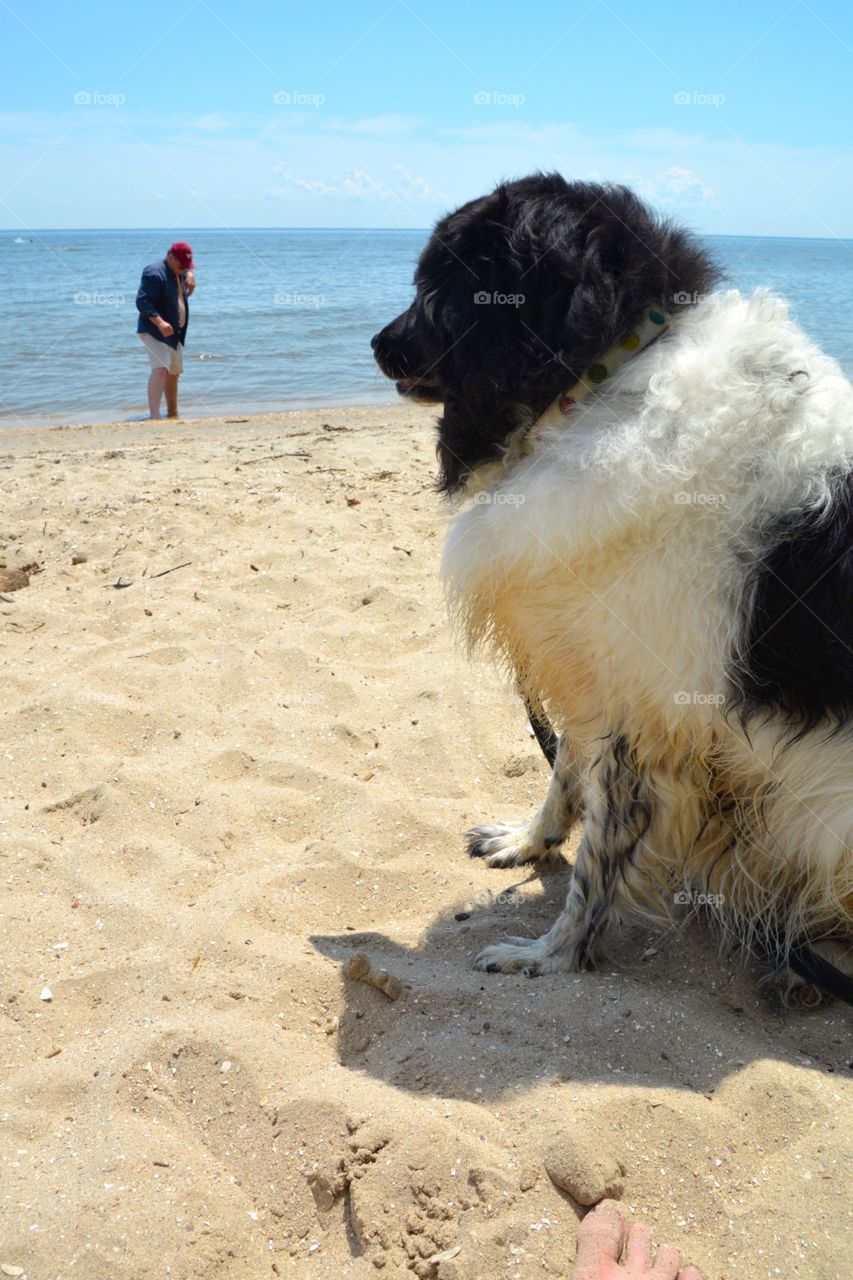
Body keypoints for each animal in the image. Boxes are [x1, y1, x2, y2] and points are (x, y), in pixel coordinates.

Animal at [371, 172, 850, 998]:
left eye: (441, 285)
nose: (377, 343)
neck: (607, 378)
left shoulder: (648, 704)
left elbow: (600, 849)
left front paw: (550, 955)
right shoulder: (596, 660)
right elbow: (565, 767)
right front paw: (528, 840)